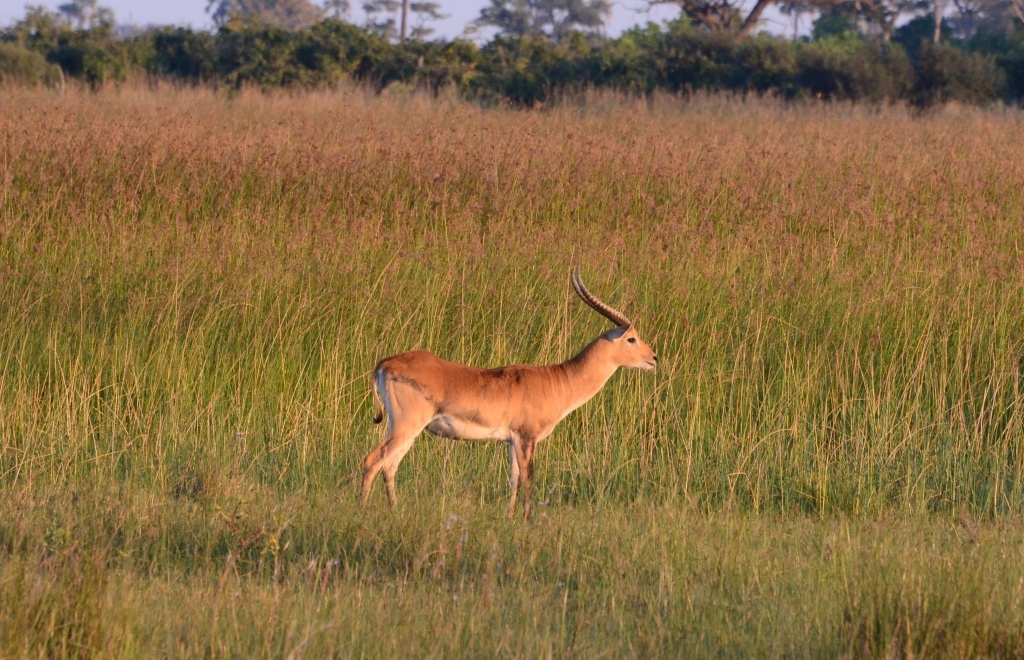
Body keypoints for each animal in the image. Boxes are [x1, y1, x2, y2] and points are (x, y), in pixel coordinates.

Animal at [360, 266, 655, 515]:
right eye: (631, 338)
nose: (654, 358)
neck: (558, 380)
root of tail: (385, 363)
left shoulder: (512, 441)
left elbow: (513, 479)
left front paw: (511, 517)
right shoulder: (527, 437)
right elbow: (528, 479)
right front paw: (528, 519)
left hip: (404, 428)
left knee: (389, 465)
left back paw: (394, 510)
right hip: (407, 425)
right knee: (373, 460)